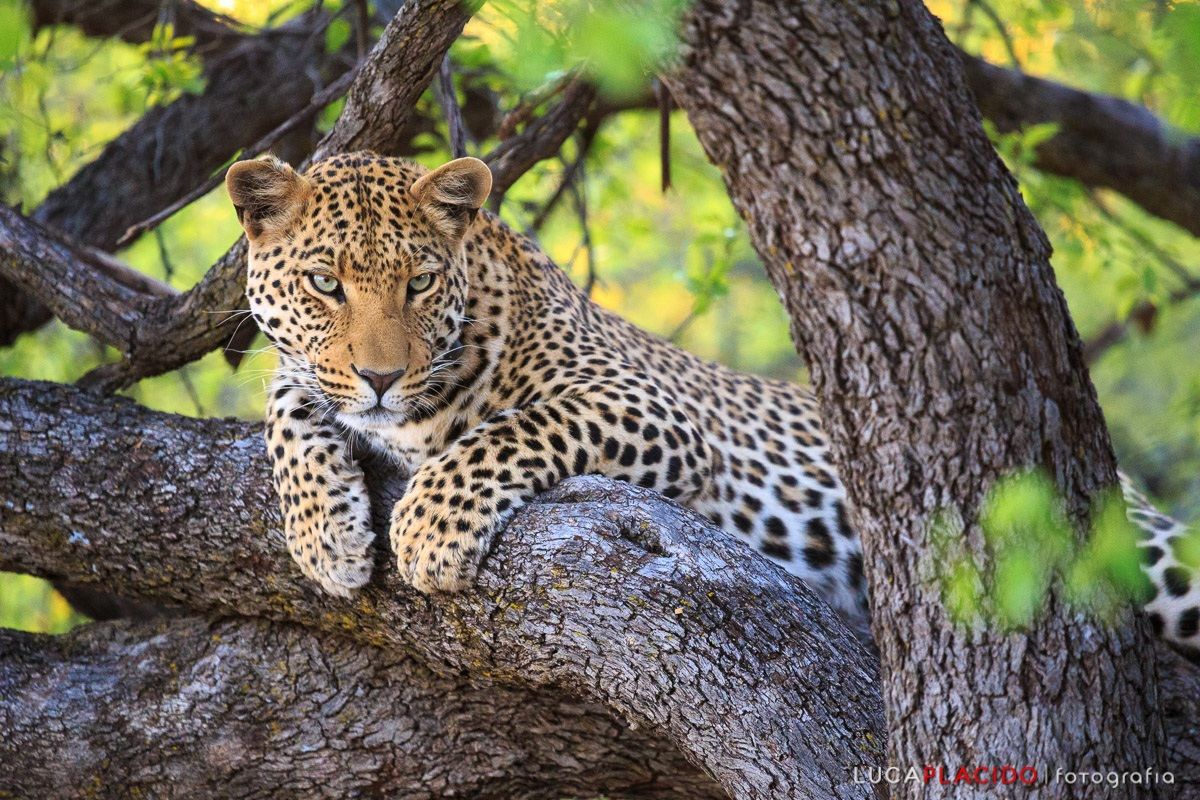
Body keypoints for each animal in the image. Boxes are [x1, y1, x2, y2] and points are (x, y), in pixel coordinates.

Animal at [226, 151, 1199, 658]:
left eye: (420, 283)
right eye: (325, 284)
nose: (382, 375)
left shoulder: (649, 408)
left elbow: (507, 431)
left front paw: (428, 531)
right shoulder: (315, 382)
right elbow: (288, 400)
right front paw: (326, 539)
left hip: (1150, 554)